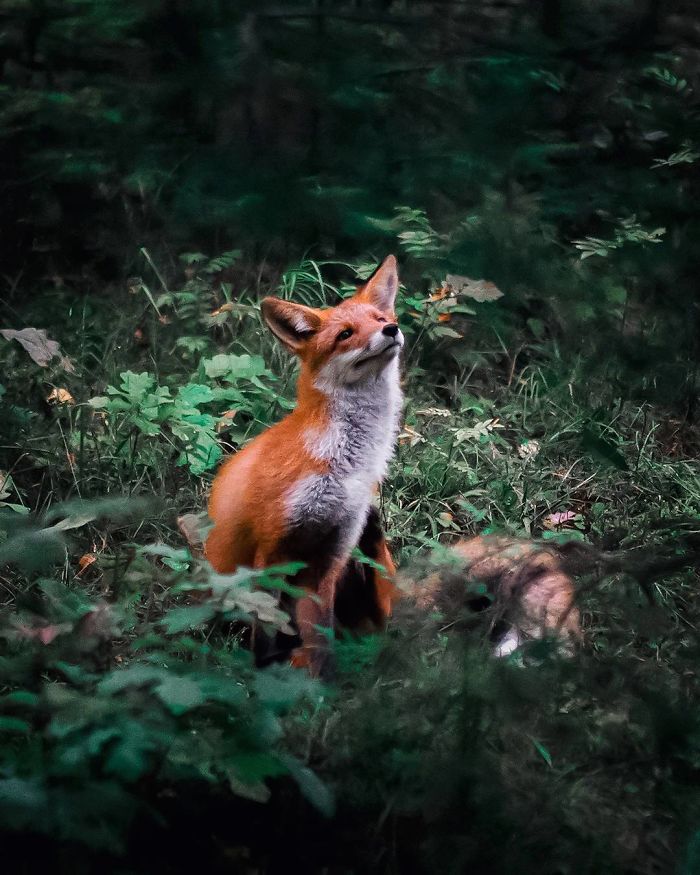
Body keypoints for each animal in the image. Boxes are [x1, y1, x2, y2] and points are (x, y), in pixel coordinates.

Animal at [206, 255, 404, 675]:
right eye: (345, 334)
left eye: (380, 319)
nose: (391, 329)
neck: (342, 463)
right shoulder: (272, 549)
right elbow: (265, 629)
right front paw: (263, 675)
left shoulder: (330, 558)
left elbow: (320, 637)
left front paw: (317, 682)